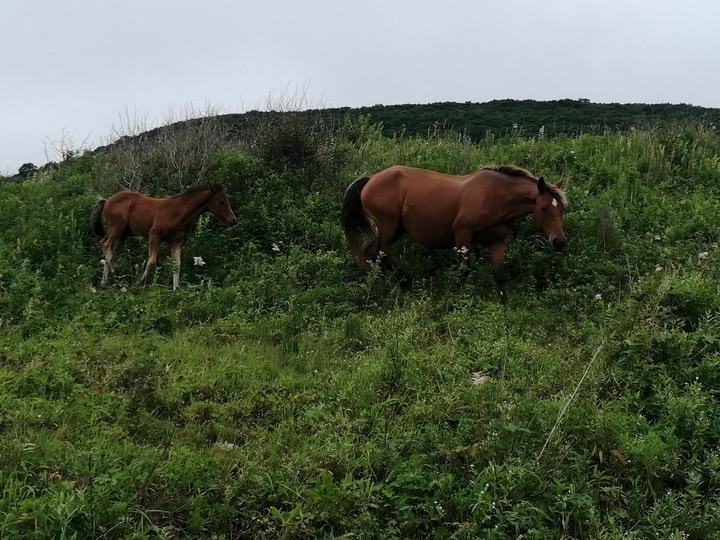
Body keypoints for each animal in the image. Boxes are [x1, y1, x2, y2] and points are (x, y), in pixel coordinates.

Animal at [90, 183, 237, 290]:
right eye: (221, 201)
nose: (233, 220)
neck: (178, 212)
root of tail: (107, 200)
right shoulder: (154, 236)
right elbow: (151, 262)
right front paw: (139, 283)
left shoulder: (177, 241)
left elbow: (176, 265)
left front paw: (176, 289)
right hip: (117, 226)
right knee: (105, 244)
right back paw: (110, 277)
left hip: (125, 233)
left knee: (114, 254)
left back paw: (107, 281)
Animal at [341, 165, 568, 303]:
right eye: (544, 208)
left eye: (562, 209)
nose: (559, 242)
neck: (495, 197)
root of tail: (370, 178)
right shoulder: (462, 233)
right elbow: (464, 270)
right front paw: (452, 299)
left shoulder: (497, 241)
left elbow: (499, 275)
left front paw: (505, 308)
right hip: (389, 225)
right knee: (383, 251)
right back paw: (405, 281)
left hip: (396, 228)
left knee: (371, 252)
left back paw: (374, 284)